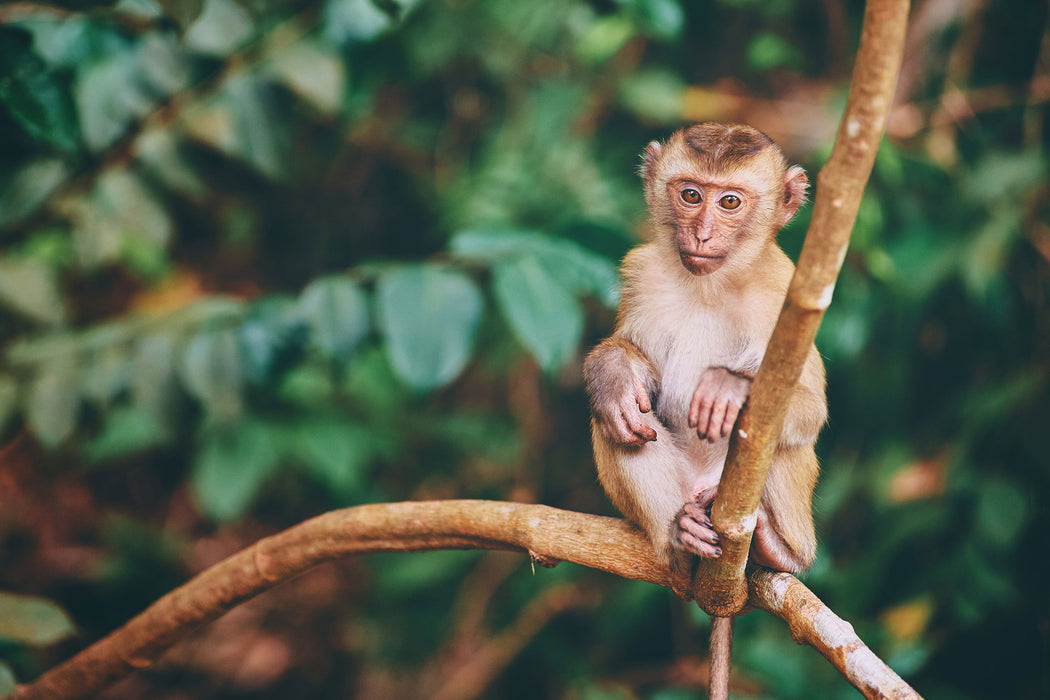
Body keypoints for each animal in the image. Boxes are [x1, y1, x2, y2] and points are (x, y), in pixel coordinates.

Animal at [588, 124, 823, 575]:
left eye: (730, 201)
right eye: (691, 195)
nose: (702, 234)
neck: (711, 286)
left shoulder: (784, 298)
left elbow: (810, 409)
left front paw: (731, 389)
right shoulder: (642, 273)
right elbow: (636, 371)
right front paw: (612, 371)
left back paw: (779, 551)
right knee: (617, 427)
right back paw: (681, 537)